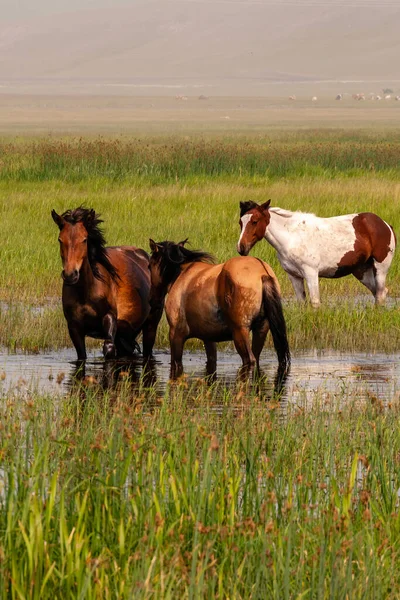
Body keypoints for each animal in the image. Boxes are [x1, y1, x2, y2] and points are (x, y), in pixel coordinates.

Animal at [52, 206, 162, 360]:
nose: (70, 275)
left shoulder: (109, 318)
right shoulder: (74, 327)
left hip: (151, 325)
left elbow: (109, 348)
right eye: (60, 239)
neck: (86, 292)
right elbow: (81, 355)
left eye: (84, 239)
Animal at [148, 236, 290, 380]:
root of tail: (262, 273)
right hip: (261, 329)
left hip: (240, 331)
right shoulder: (208, 338)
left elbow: (175, 364)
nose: (152, 301)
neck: (180, 275)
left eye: (149, 266)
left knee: (249, 360)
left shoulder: (176, 334)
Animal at [238, 200, 396, 308]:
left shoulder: (311, 273)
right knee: (379, 293)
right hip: (362, 271)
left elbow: (315, 302)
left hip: (380, 268)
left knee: (380, 294)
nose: (241, 248)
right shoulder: (294, 276)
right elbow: (302, 302)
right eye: (240, 222)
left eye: (254, 221)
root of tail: (385, 224)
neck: (292, 238)